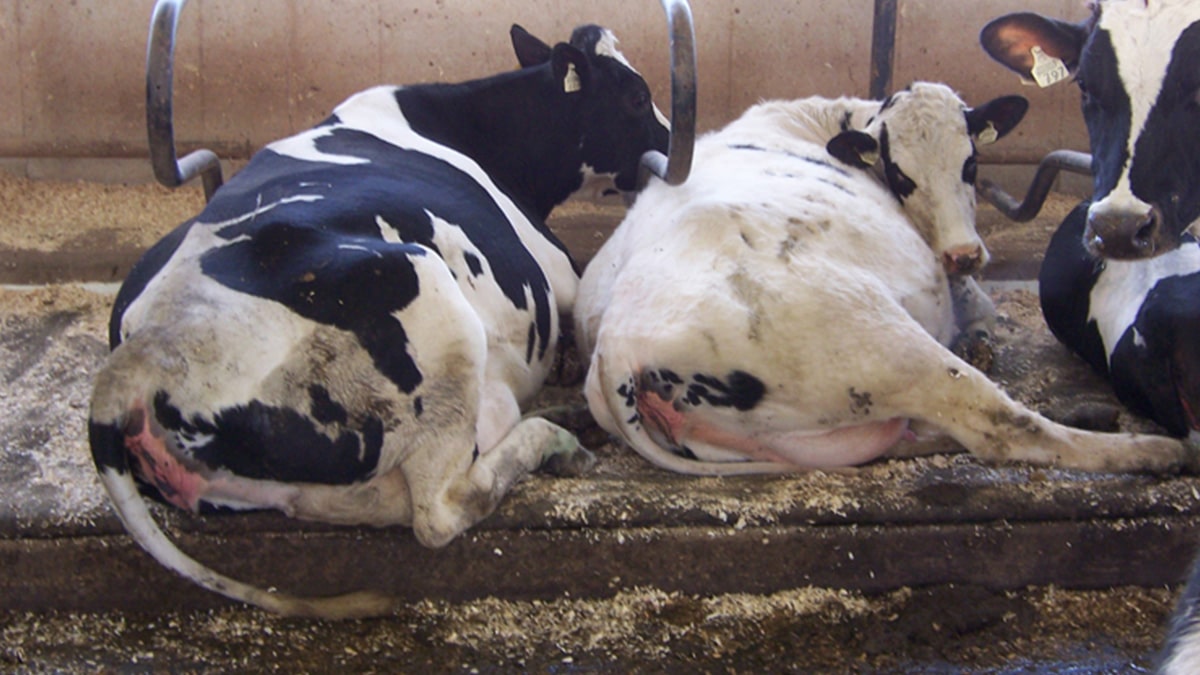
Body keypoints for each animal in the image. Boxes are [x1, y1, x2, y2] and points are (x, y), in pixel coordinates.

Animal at [86, 23, 669, 618]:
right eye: (636, 96)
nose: (671, 146)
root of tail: (149, 349)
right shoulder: (560, 271)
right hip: (432, 298)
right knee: (439, 508)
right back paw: (554, 440)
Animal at [574, 81, 1193, 477]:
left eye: (971, 163)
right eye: (900, 175)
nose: (963, 255)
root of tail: (615, 350)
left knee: (904, 436)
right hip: (883, 343)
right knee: (1000, 427)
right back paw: (1152, 450)